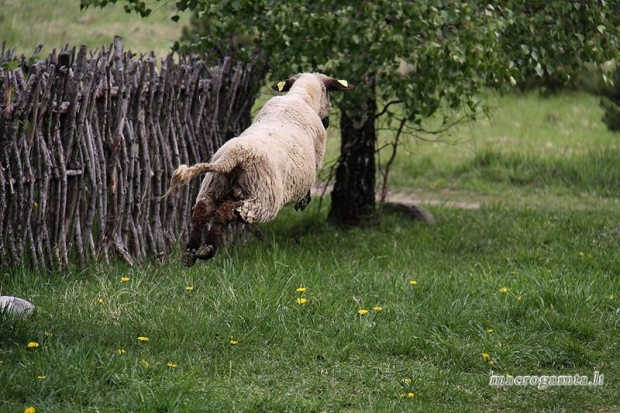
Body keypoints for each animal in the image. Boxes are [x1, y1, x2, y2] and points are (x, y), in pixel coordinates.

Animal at [165, 72, 356, 266]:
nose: (327, 122)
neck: (301, 97)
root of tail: (235, 155)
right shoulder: (315, 161)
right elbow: (307, 189)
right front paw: (302, 202)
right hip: (262, 199)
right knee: (227, 210)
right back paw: (208, 249)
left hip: (213, 187)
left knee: (202, 210)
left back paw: (191, 251)